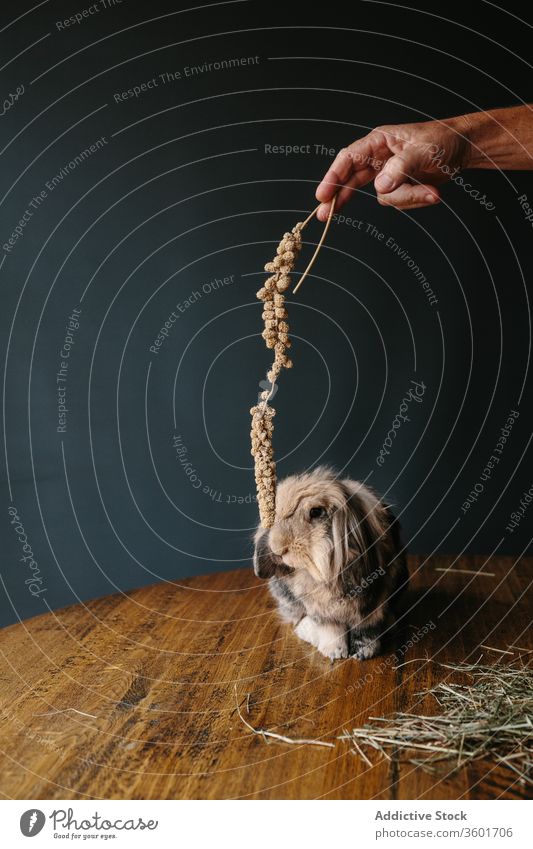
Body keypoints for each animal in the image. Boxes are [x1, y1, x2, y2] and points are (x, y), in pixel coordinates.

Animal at [252, 468, 408, 660]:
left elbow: (366, 629)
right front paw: (335, 653)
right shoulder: (320, 610)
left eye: (316, 512)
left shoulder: (374, 603)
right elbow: (331, 629)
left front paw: (363, 653)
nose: (278, 547)